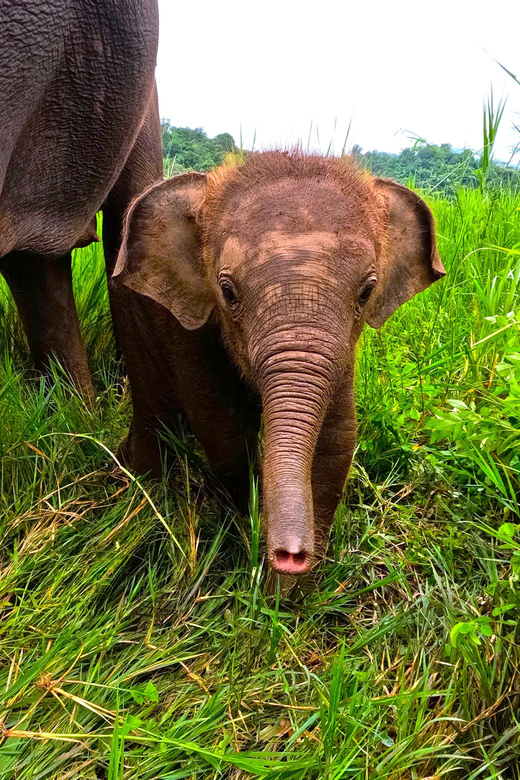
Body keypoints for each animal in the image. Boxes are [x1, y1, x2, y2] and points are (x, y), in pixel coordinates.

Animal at [112, 152, 442, 576]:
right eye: (227, 292)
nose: (290, 556)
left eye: (367, 292)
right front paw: (248, 534)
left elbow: (337, 440)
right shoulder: (186, 327)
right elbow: (223, 428)